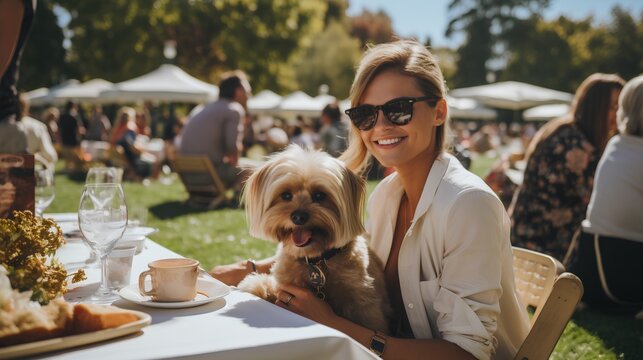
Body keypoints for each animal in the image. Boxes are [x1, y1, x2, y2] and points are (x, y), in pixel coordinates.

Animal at [240, 145, 392, 334]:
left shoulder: (365, 304)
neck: (315, 260)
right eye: (286, 195)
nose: (298, 217)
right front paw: (254, 285)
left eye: (320, 196)